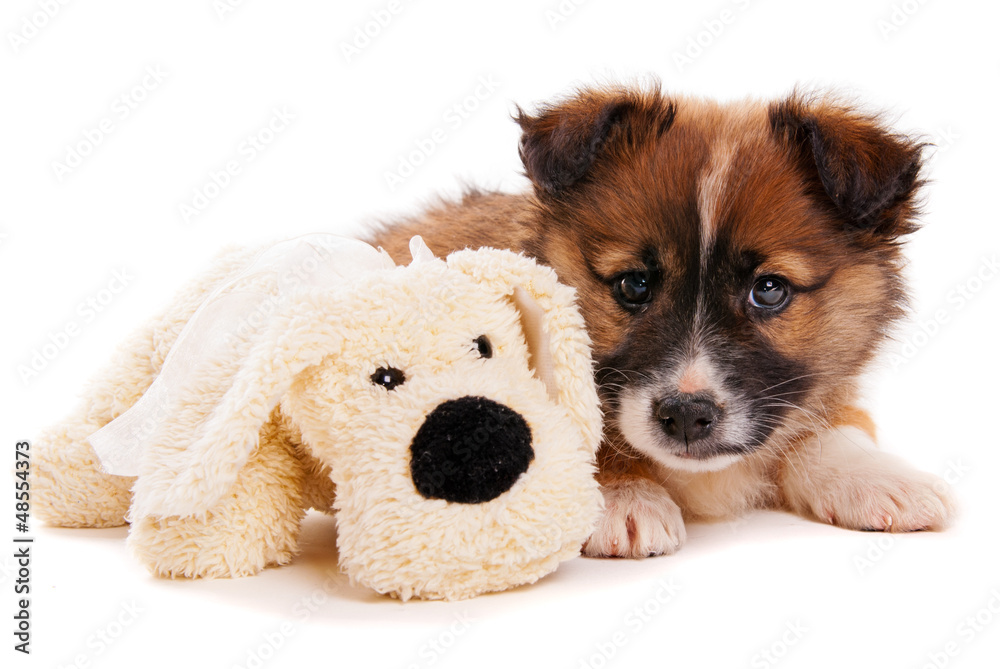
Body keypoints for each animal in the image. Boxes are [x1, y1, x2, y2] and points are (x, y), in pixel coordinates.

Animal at [368, 83, 952, 560]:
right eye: (634, 284)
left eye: (769, 289)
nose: (688, 417)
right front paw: (622, 496)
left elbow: (833, 426)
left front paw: (876, 476)